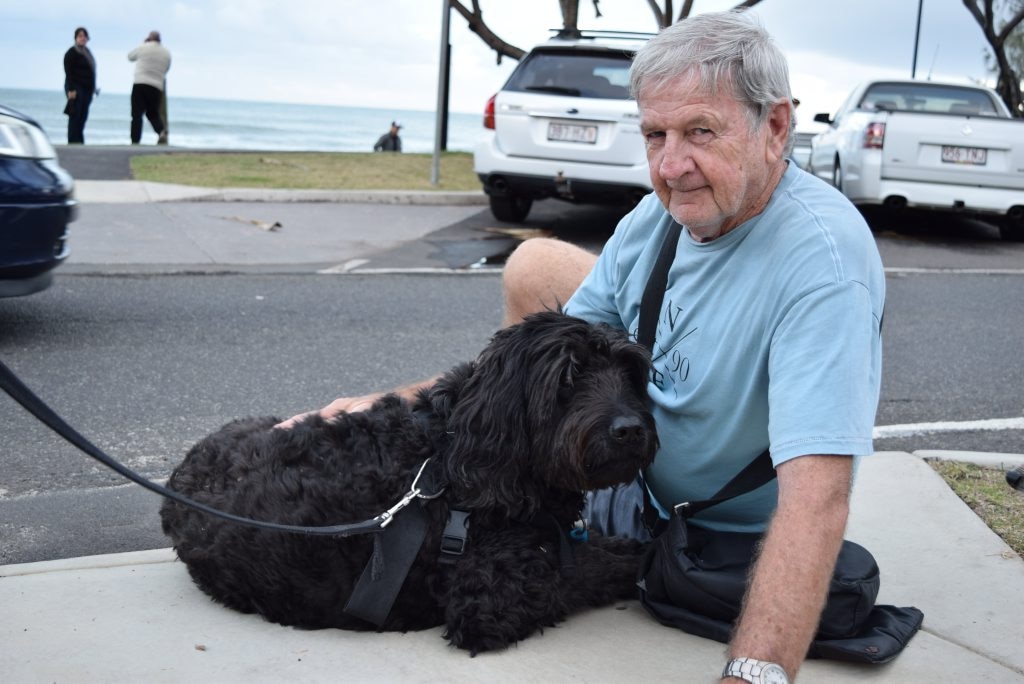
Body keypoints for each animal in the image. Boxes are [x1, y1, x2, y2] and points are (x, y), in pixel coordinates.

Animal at [159, 309, 655, 651]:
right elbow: (586, 566)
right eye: (569, 377)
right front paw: (638, 560)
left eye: (631, 373)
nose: (631, 429)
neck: (449, 456)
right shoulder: (489, 599)